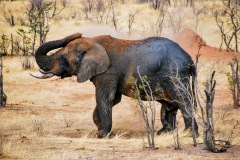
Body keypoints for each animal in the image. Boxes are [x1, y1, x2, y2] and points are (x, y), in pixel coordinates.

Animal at [31, 32, 199, 138]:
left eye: (63, 58)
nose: (78, 33)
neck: (92, 41)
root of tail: (190, 60)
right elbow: (112, 100)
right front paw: (100, 131)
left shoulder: (108, 72)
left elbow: (105, 97)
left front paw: (102, 135)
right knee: (170, 105)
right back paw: (164, 133)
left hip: (175, 75)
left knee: (183, 102)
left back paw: (189, 135)